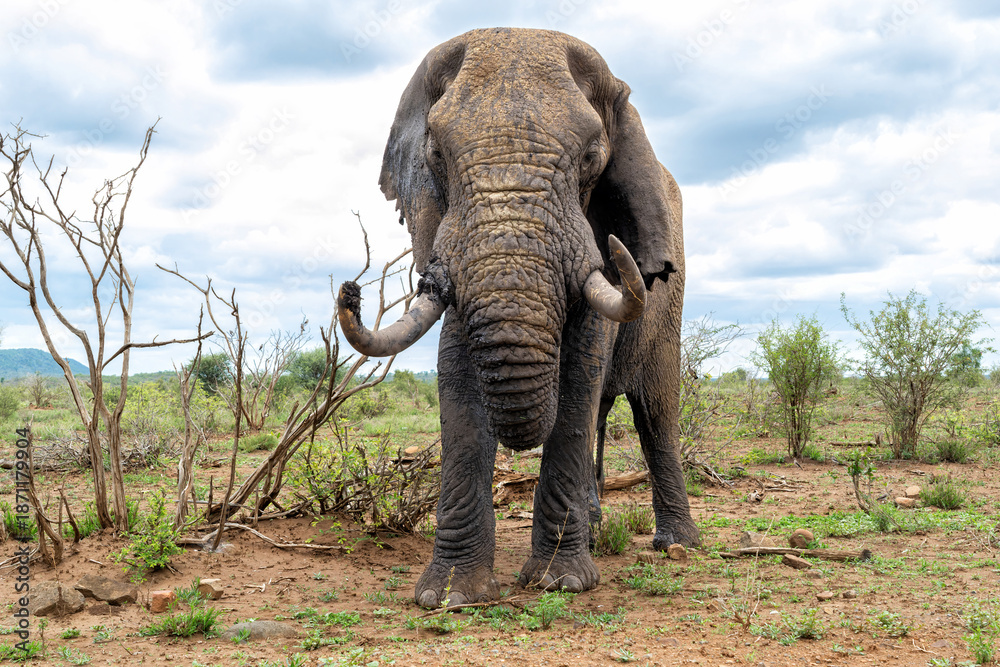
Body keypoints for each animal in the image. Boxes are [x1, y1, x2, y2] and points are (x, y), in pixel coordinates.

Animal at [337, 27, 699, 608]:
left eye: (592, 157)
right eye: (435, 154)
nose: (350, 291)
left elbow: (578, 377)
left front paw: (560, 582)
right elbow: (457, 375)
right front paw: (450, 595)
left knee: (655, 408)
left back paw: (678, 545)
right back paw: (595, 531)